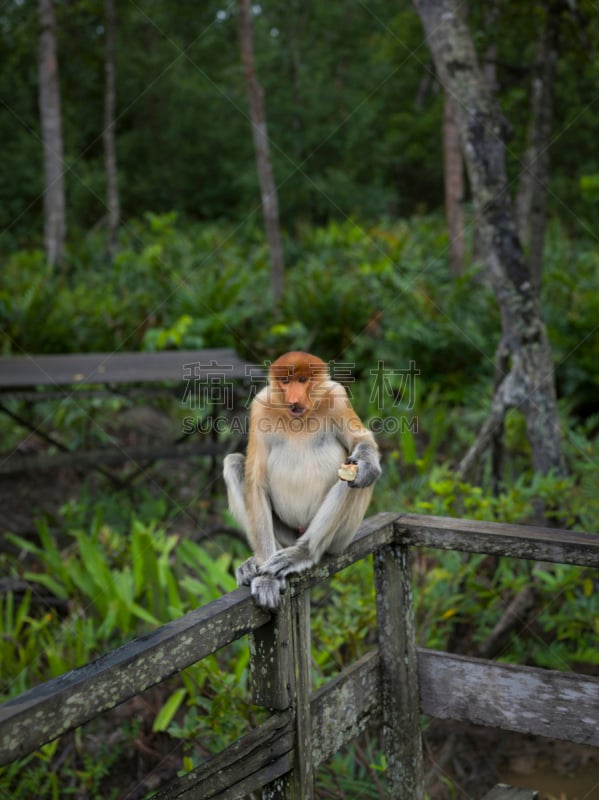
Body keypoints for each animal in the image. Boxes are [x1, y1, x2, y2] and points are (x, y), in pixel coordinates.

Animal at [223, 348, 382, 608]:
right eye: (286, 382)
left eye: (303, 380)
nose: (294, 398)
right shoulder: (259, 407)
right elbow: (255, 483)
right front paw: (266, 579)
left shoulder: (337, 397)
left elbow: (362, 441)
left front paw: (367, 467)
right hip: (286, 532)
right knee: (233, 463)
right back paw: (257, 564)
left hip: (341, 537)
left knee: (351, 480)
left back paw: (301, 553)